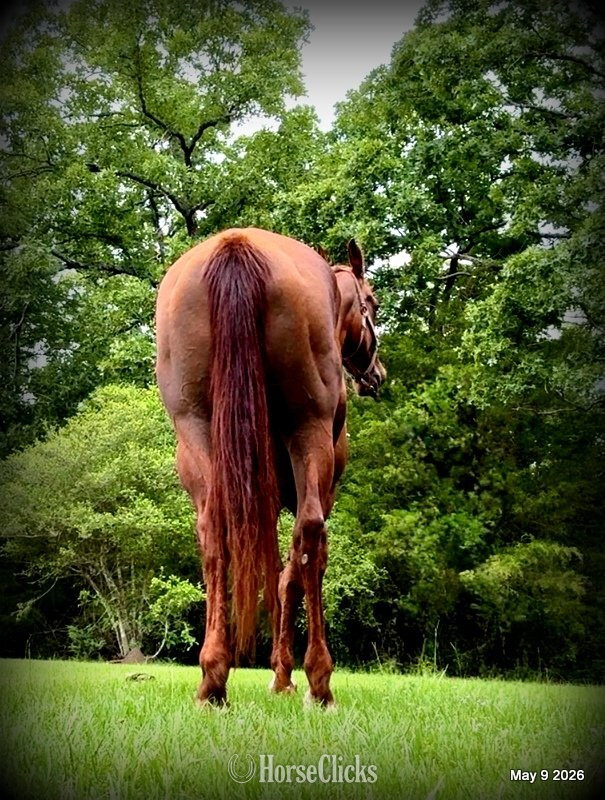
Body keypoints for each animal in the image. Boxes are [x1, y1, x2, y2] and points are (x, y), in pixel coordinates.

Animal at [155, 227, 385, 707]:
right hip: (308, 429)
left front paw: (278, 671)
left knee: (213, 531)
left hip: (196, 431)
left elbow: (277, 572)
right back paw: (320, 682)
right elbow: (293, 572)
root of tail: (236, 245)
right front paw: (284, 676)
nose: (376, 374)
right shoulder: (314, 487)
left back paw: (213, 679)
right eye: (372, 302)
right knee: (311, 536)